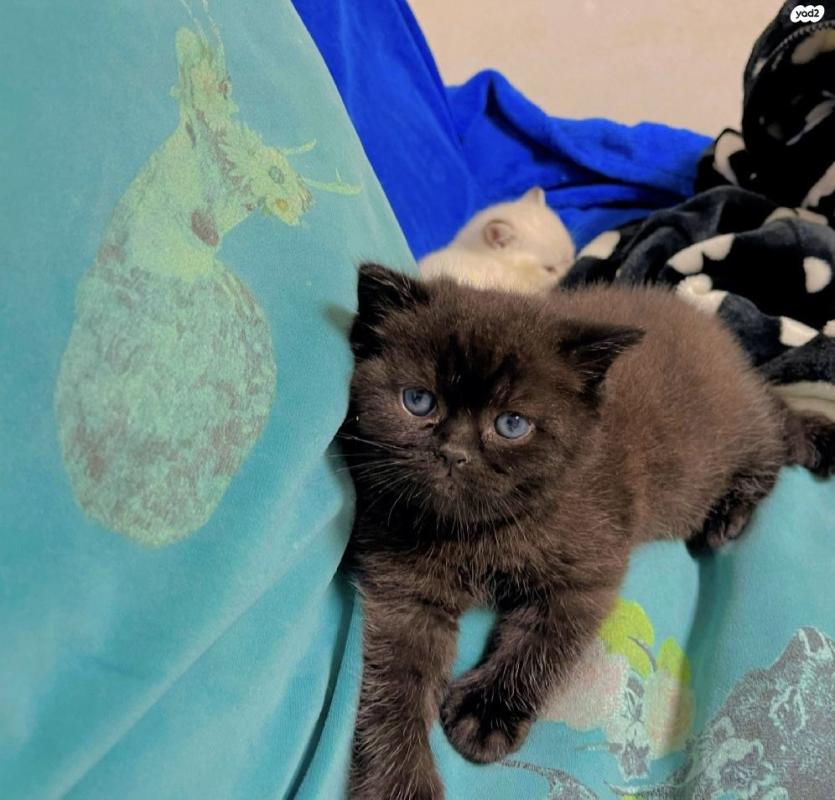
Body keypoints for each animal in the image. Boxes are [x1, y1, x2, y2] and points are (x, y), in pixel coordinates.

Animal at [340, 264, 835, 800]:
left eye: (511, 424)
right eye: (418, 401)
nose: (454, 453)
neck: (476, 532)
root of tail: (736, 358)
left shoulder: (588, 566)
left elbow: (544, 641)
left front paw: (487, 712)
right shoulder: (403, 592)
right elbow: (394, 684)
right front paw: (399, 780)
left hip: (725, 438)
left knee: (773, 443)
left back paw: (728, 515)